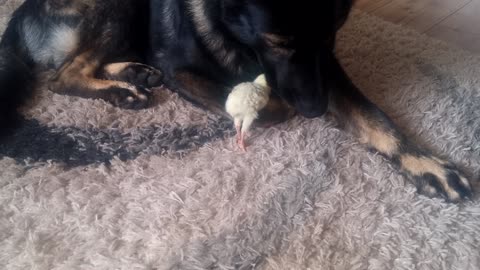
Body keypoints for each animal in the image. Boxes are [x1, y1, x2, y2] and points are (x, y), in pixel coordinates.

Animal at [0, 0, 472, 201]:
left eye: (334, 34)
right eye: (277, 41)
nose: (316, 110)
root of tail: (20, 15)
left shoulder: (327, 67)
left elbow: (374, 116)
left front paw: (423, 162)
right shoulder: (183, 72)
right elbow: (271, 104)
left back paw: (133, 72)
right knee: (62, 77)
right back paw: (121, 88)